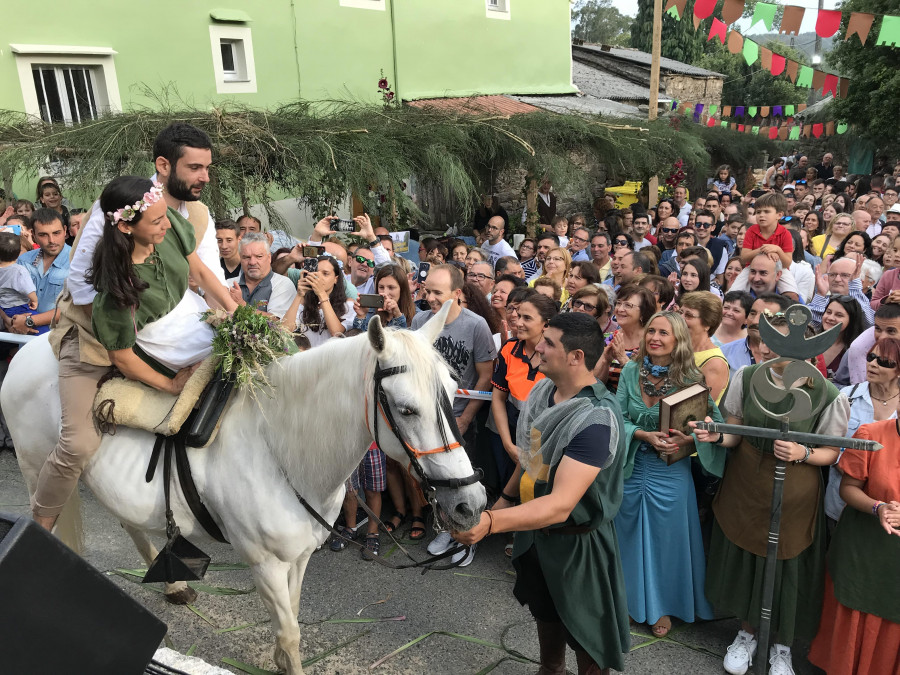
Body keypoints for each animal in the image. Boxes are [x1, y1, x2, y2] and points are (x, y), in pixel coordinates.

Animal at [3, 304, 488, 672]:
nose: (470, 502)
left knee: (131, 524)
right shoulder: (265, 564)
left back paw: (172, 586)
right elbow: (289, 633)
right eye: (406, 409)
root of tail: (29, 352)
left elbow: (291, 615)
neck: (282, 449)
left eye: (453, 393)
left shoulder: (299, 556)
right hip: (38, 468)